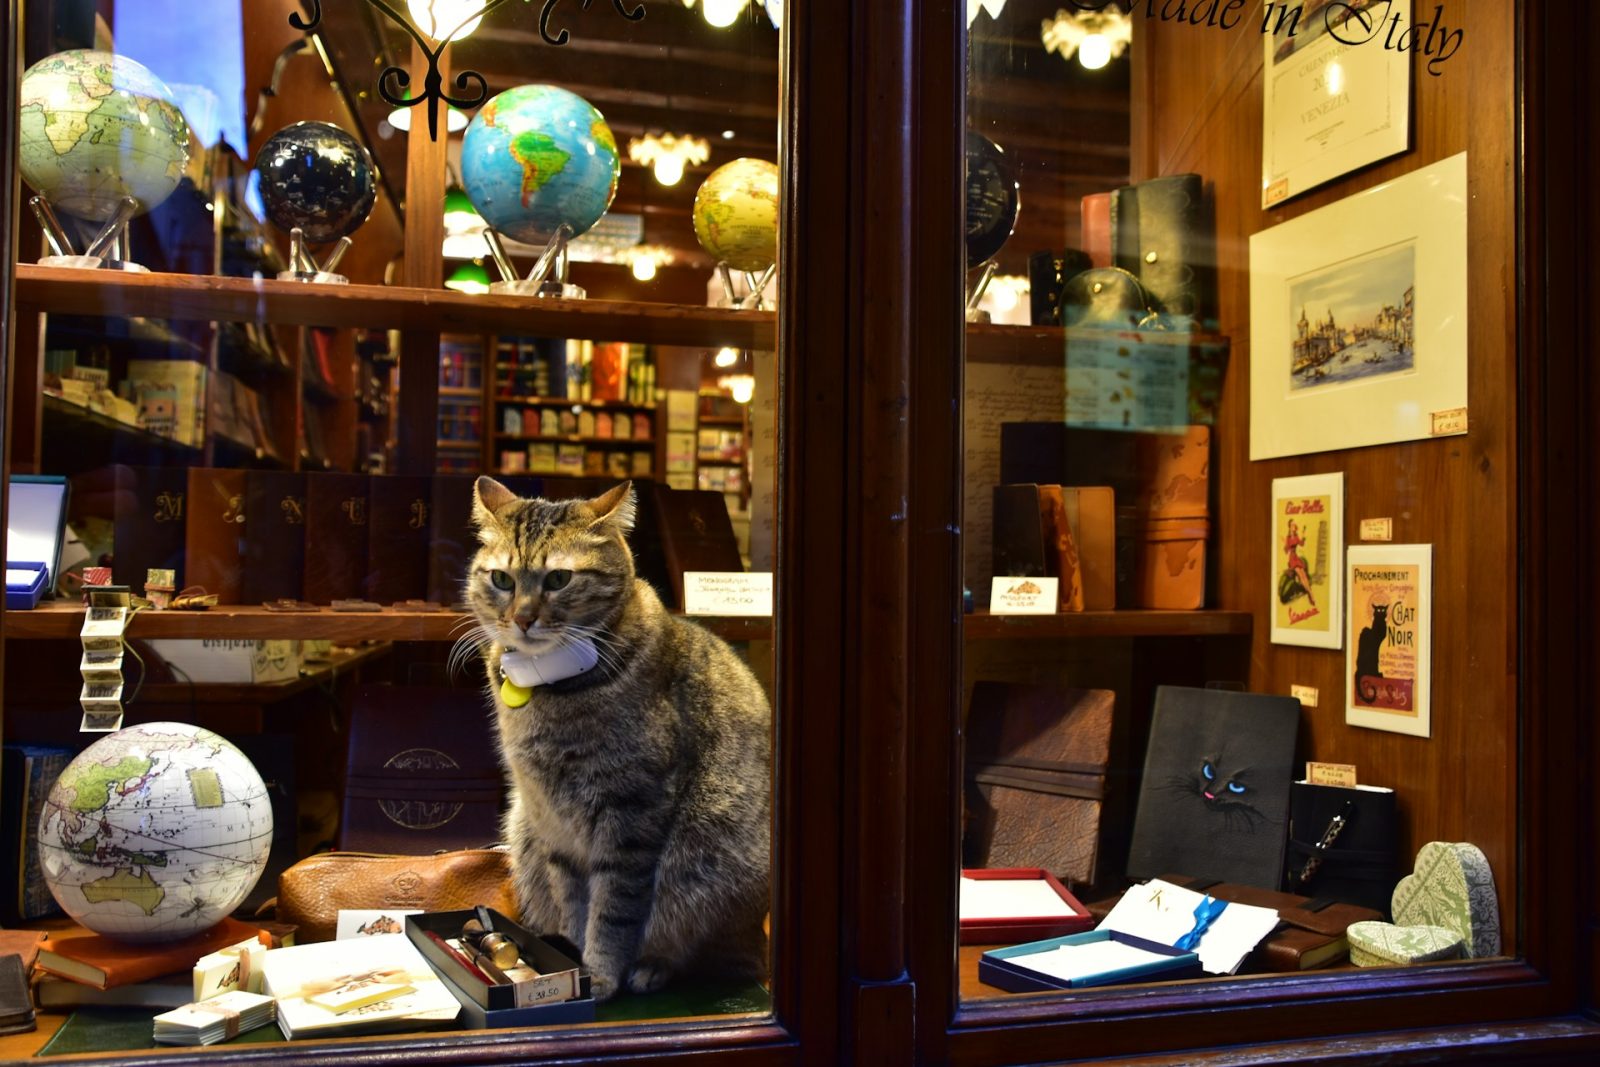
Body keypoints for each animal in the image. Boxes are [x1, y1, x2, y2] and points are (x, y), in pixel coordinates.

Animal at [464, 479, 768, 998]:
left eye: (558, 579)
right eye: (502, 579)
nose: (522, 618)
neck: (546, 686)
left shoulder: (630, 812)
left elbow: (613, 912)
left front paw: (601, 975)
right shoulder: (549, 821)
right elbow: (572, 902)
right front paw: (570, 957)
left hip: (708, 861)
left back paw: (653, 968)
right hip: (522, 829)